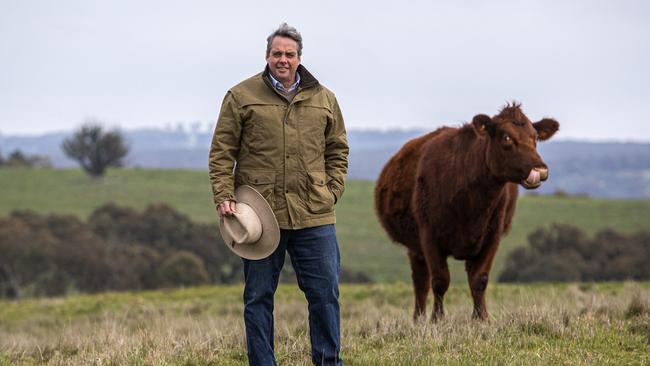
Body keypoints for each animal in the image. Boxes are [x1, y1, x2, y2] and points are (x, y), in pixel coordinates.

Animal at [374, 103, 556, 320]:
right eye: (506, 138)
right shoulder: (429, 236)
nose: (540, 170)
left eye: (535, 137)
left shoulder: (491, 236)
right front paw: (437, 319)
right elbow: (440, 281)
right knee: (421, 281)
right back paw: (418, 319)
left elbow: (480, 279)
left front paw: (481, 318)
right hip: (415, 245)